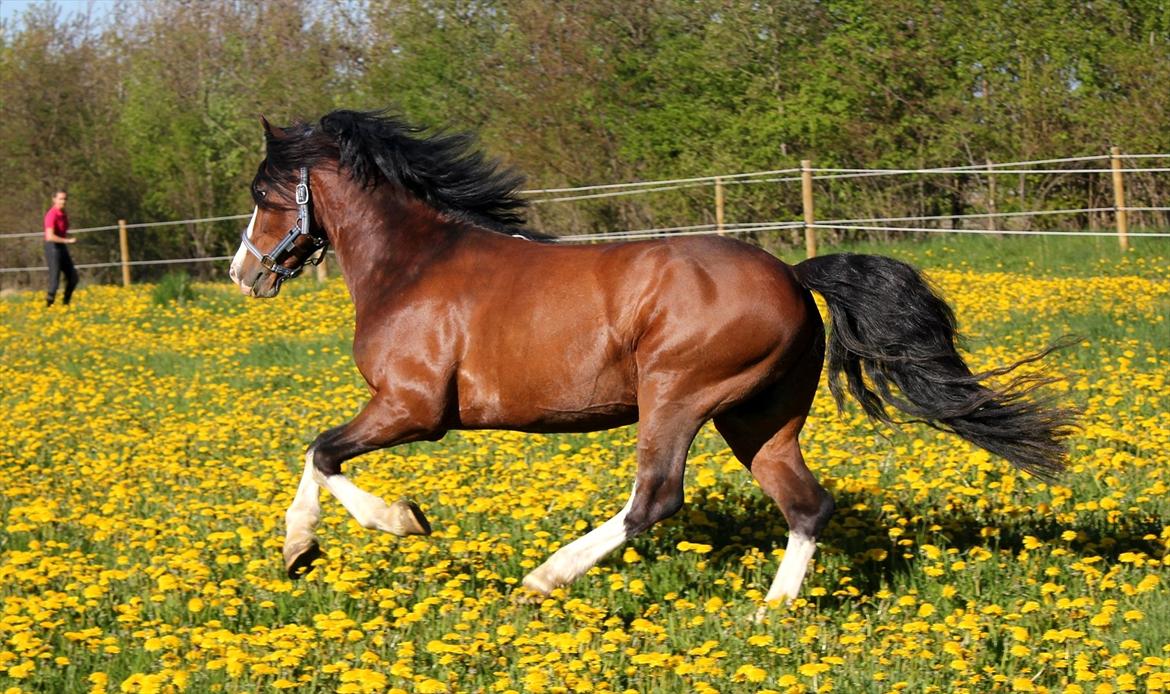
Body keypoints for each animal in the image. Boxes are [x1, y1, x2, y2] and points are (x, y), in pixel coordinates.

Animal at [225, 109, 1071, 608]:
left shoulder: (413, 408)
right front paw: (303, 553)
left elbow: (322, 453)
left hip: (677, 397)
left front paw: (380, 527)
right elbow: (317, 457)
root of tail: (793, 275)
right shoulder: (401, 410)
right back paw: (770, 614)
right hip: (757, 419)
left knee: (655, 500)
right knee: (806, 504)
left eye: (265, 193)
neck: (414, 265)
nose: (244, 272)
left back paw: (541, 582)